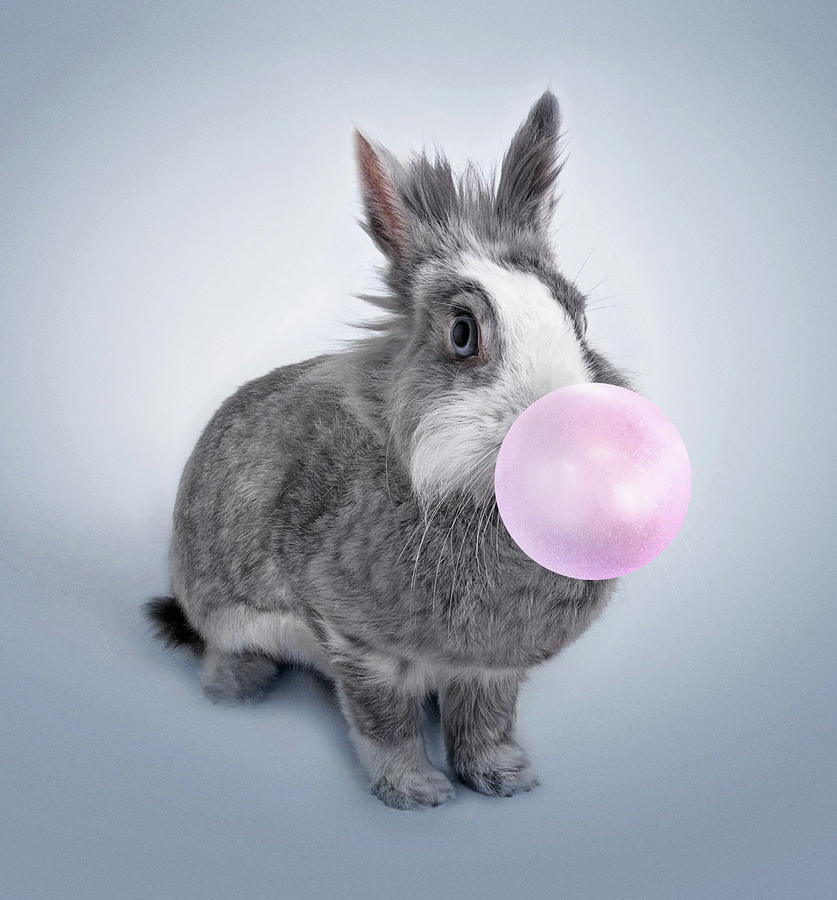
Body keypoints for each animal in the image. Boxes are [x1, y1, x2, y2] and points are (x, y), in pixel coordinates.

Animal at [145, 90, 630, 810]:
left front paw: (504, 778)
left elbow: (486, 721)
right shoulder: (356, 644)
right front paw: (416, 791)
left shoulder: (490, 668)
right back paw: (239, 690)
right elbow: (384, 723)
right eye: (463, 333)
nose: (569, 425)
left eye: (580, 319)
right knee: (219, 649)